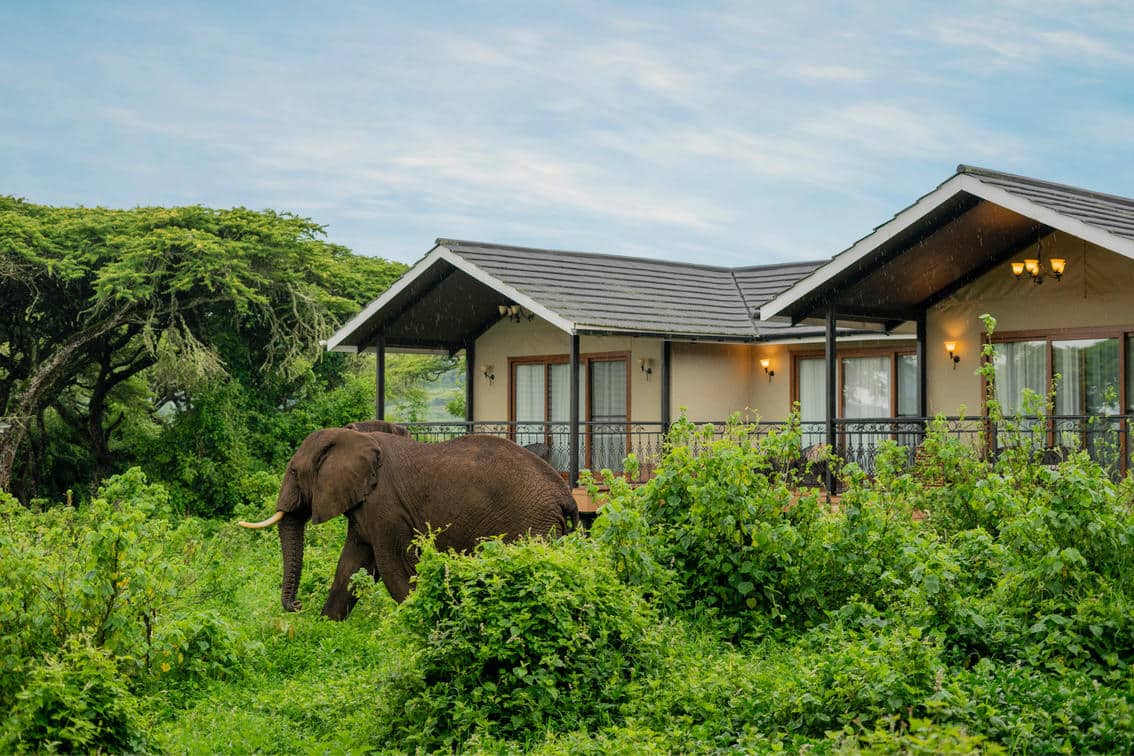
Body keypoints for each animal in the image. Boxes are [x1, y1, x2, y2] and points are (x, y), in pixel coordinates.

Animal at [237, 428, 576, 616]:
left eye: (294, 472)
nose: (296, 606)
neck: (352, 437)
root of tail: (565, 494)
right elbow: (351, 566)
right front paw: (325, 627)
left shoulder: (385, 507)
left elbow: (393, 568)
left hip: (531, 525)